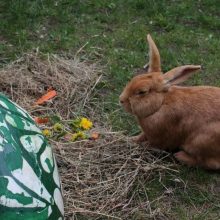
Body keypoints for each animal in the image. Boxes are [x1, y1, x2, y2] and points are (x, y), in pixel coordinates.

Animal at [119, 34, 220, 170]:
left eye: (142, 92)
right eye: (133, 79)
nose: (121, 100)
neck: (161, 104)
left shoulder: (159, 137)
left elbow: (151, 143)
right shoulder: (147, 133)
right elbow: (140, 137)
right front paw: (130, 139)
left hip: (201, 141)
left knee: (209, 162)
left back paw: (181, 156)